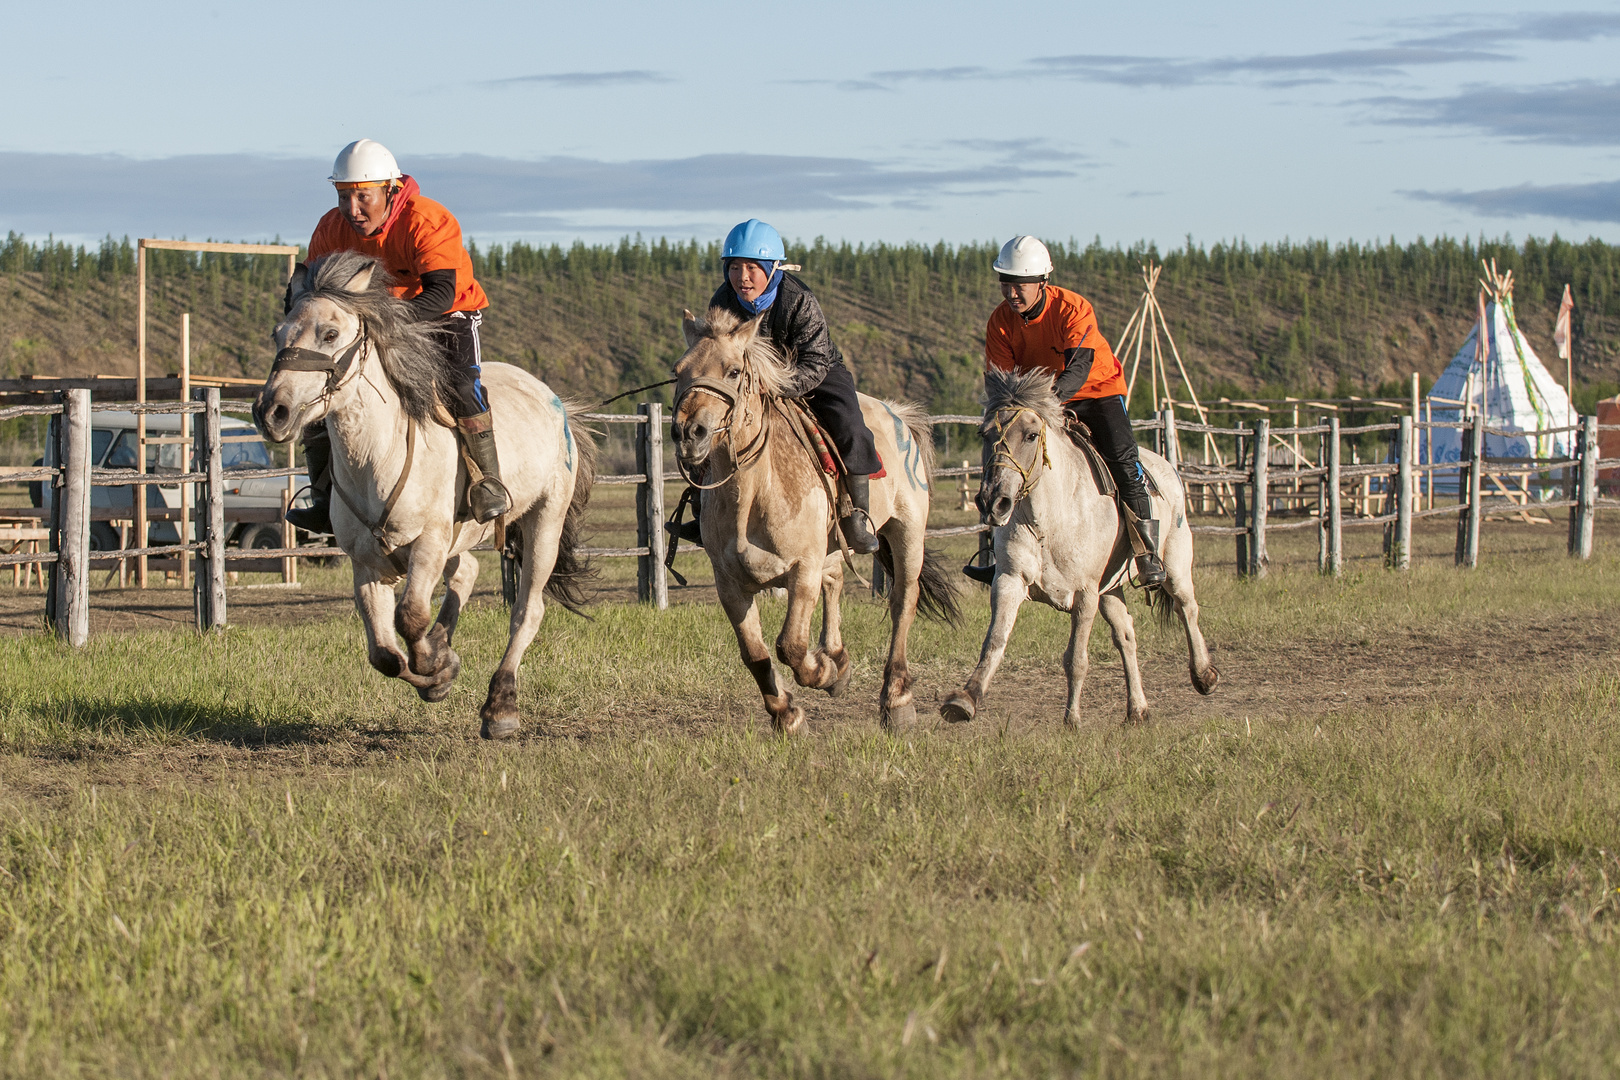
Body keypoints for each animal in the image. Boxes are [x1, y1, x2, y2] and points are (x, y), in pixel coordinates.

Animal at [255, 254, 599, 744]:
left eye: (330, 334)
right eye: (278, 334)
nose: (272, 412)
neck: (377, 456)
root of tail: (559, 405)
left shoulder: (429, 543)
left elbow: (411, 617)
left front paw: (436, 666)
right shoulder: (367, 564)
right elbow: (384, 654)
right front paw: (439, 671)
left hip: (544, 522)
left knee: (526, 611)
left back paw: (501, 706)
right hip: (463, 538)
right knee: (468, 571)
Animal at [673, 307, 959, 738]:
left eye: (734, 371)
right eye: (679, 371)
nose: (689, 432)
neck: (752, 494)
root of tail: (899, 415)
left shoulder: (802, 569)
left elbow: (790, 645)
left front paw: (822, 673)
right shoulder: (729, 585)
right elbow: (755, 655)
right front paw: (789, 716)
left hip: (907, 533)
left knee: (902, 603)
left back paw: (896, 700)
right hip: (833, 547)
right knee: (837, 580)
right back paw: (839, 657)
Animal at [939, 367, 1218, 731]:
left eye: (1031, 435)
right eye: (984, 434)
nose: (993, 501)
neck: (1048, 520)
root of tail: (1167, 467)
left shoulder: (1085, 594)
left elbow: (1076, 659)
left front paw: (1072, 718)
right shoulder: (1009, 581)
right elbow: (995, 641)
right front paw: (964, 700)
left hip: (1174, 567)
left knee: (1188, 608)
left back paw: (1204, 675)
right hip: (1110, 590)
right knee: (1126, 635)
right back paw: (1137, 709)